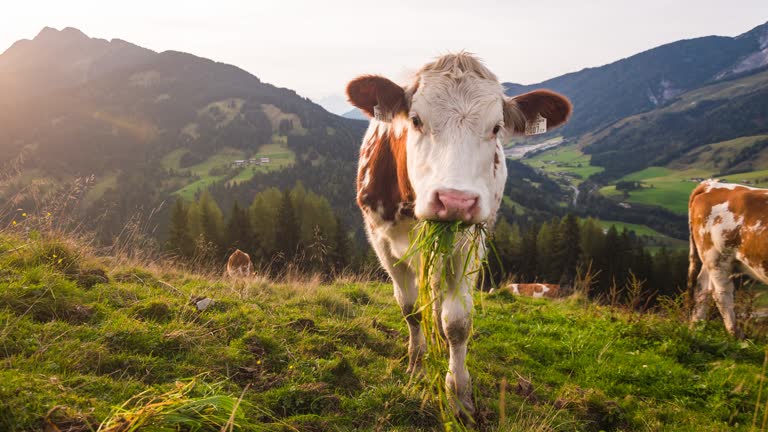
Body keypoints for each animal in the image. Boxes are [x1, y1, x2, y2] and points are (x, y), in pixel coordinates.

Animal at [348, 51, 568, 418]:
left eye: (496, 128)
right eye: (416, 120)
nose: (455, 200)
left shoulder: (470, 244)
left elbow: (458, 322)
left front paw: (459, 393)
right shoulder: (381, 241)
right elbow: (410, 307)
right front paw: (416, 366)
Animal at [688, 179, 768, 338]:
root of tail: (710, 185)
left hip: (709, 259)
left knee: (702, 289)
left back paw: (695, 330)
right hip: (718, 257)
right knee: (721, 293)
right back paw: (737, 334)